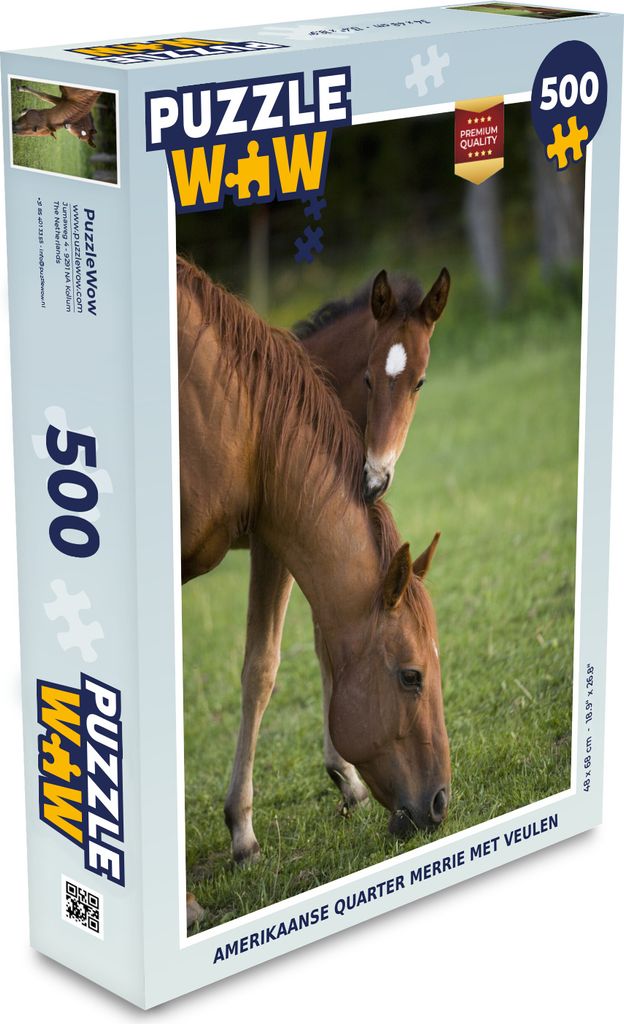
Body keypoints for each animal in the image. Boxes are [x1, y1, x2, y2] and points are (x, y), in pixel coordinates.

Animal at [177, 258, 451, 921]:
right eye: (371, 376)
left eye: (420, 382)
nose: (377, 475)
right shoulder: (273, 544)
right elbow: (264, 668)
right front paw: (243, 834)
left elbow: (326, 643)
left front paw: (344, 778)